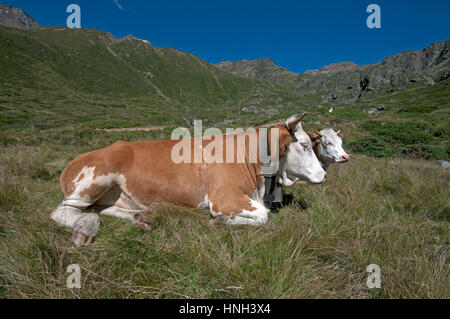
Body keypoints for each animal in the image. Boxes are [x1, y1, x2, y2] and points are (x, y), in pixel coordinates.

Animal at [51, 113, 326, 248]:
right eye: (304, 144)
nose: (324, 174)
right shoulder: (222, 197)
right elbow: (263, 215)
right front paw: (223, 221)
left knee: (104, 209)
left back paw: (142, 218)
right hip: (95, 178)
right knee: (61, 212)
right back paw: (85, 228)